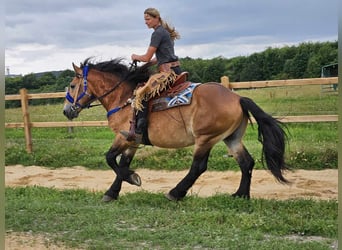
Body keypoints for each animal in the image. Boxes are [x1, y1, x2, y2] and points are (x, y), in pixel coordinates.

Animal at [63, 57, 288, 202]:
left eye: (72, 86)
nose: (66, 111)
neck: (123, 99)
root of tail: (238, 98)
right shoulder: (133, 141)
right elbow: (123, 164)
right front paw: (113, 192)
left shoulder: (123, 137)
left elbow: (110, 159)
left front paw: (132, 178)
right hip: (231, 138)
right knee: (246, 162)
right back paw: (241, 195)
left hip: (205, 138)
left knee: (198, 167)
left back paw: (176, 193)